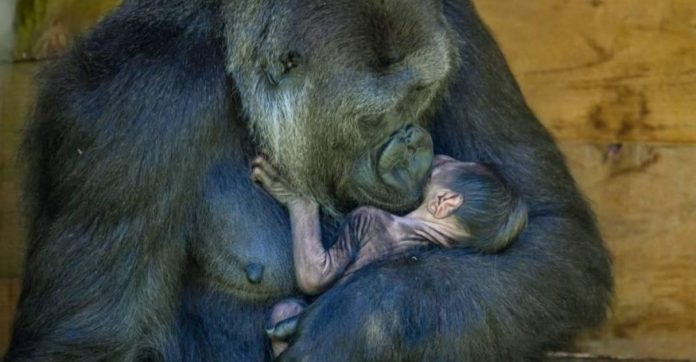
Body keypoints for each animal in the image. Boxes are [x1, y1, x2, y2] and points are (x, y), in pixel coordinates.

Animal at [253, 159, 524, 360]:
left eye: (447, 166)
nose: (441, 158)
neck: (424, 228)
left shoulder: (365, 217)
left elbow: (315, 277)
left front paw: (293, 194)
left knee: (284, 308)